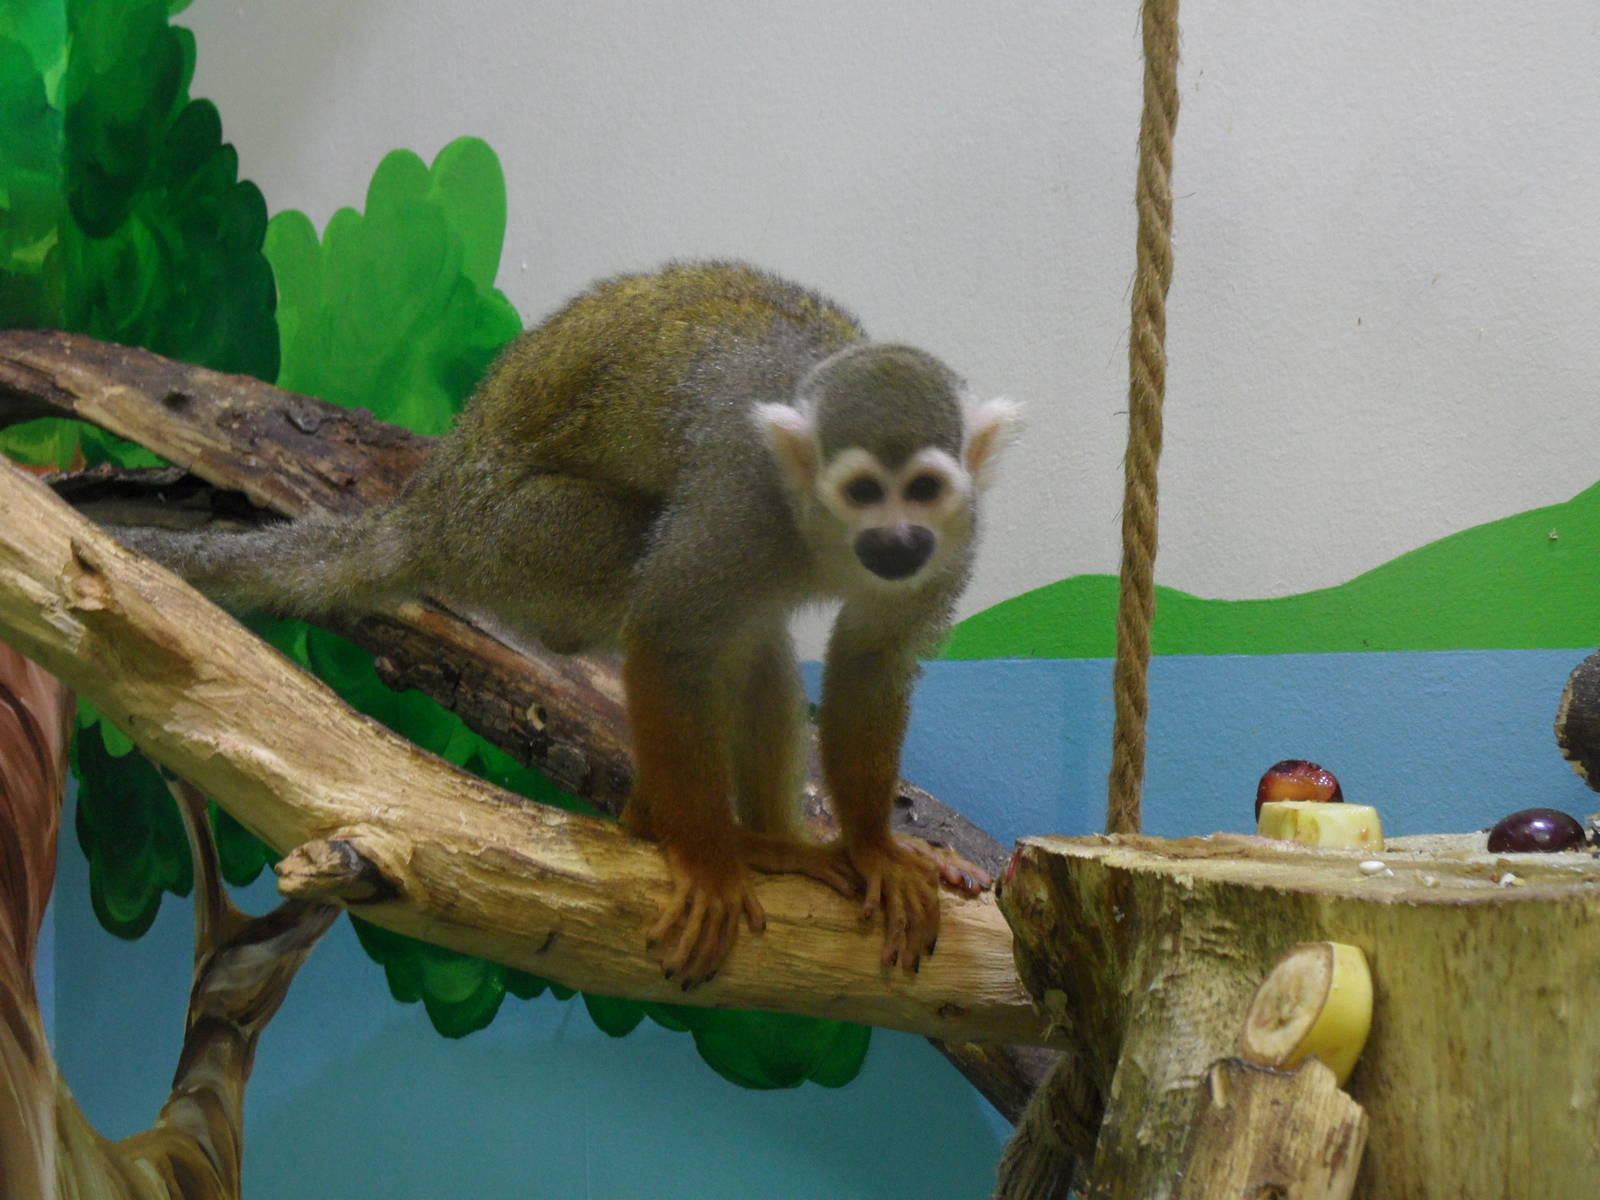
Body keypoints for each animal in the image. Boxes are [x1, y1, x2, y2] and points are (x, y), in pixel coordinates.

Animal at [114, 261, 1020, 986]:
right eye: (865, 490)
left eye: (924, 490)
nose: (896, 539)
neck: (820, 532)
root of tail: (431, 507)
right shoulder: (739, 499)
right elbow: (667, 637)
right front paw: (704, 861)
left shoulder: (958, 530)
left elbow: (874, 657)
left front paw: (873, 848)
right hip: (524, 541)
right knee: (683, 597)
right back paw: (678, 828)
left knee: (753, 639)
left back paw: (782, 846)